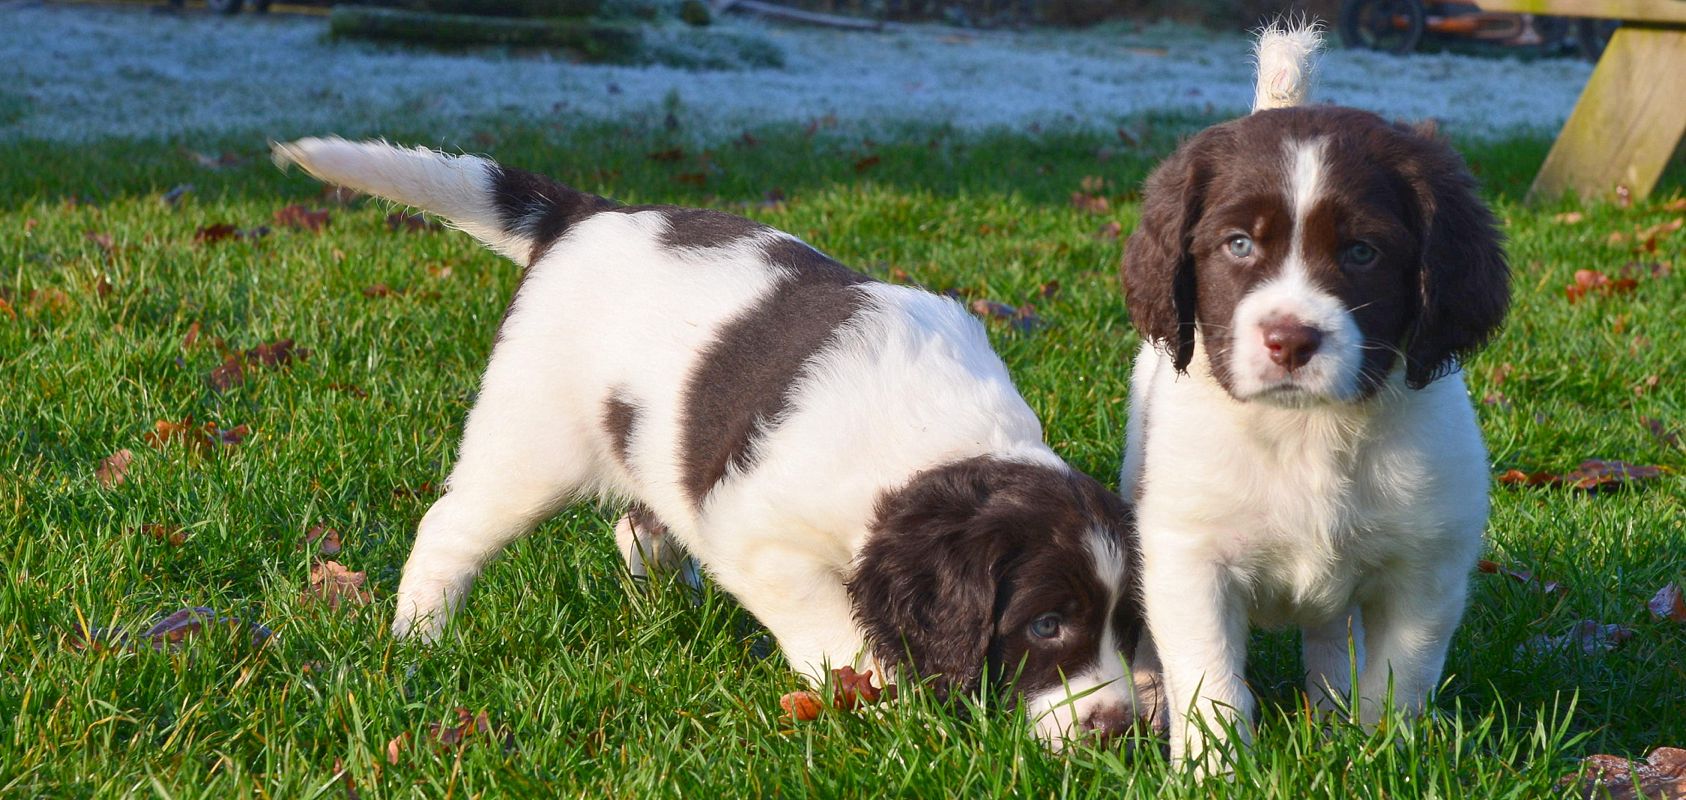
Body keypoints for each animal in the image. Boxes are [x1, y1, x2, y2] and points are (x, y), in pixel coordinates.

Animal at [276, 135, 1146, 742]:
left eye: (1130, 625)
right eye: (1046, 625)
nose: (1117, 733)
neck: (932, 444)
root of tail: (584, 215)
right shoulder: (759, 534)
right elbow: (837, 630)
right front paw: (885, 708)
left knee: (637, 521)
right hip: (533, 442)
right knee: (451, 527)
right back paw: (421, 636)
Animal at [1119, 21, 1517, 766]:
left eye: (1362, 252)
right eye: (1238, 244)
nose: (1290, 341)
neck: (1305, 432)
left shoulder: (1424, 570)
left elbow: (1397, 678)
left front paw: (1379, 759)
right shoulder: (1190, 556)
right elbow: (1211, 679)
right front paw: (1215, 770)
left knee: (1334, 641)